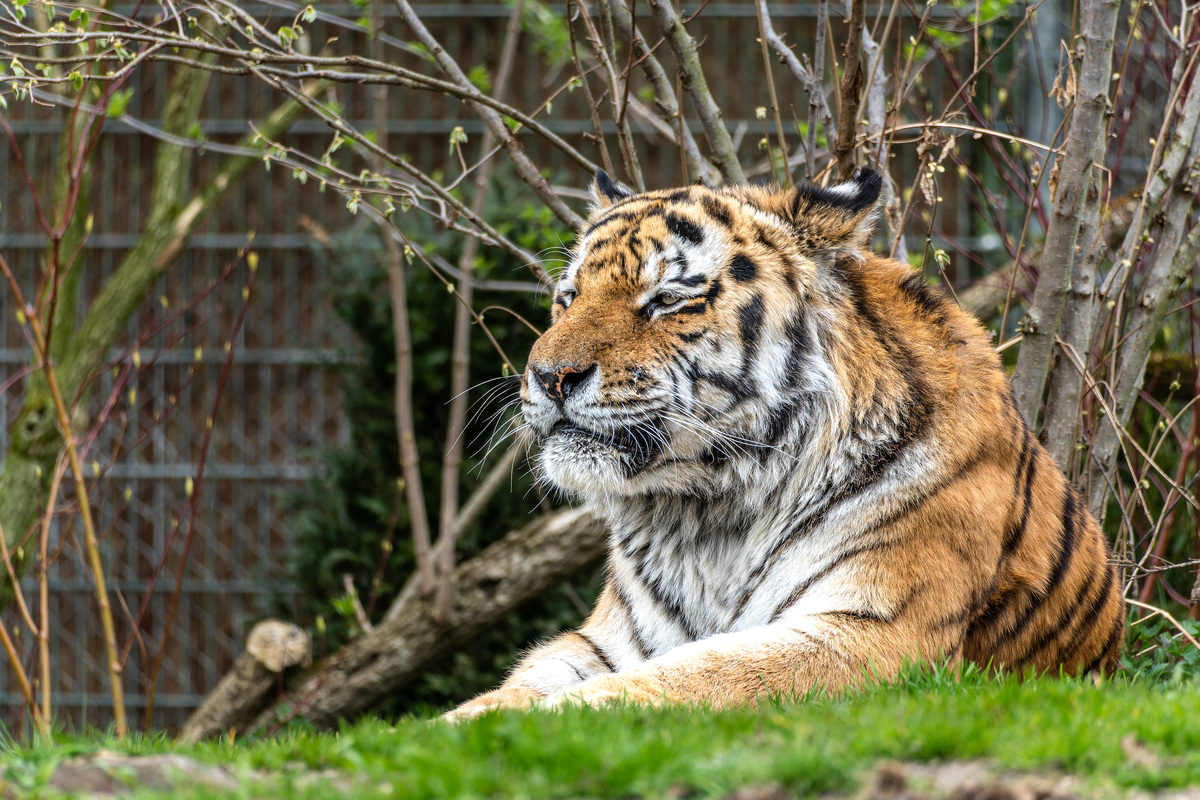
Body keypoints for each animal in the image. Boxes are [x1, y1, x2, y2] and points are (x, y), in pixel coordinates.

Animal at [443, 167, 1124, 721]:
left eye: (667, 299)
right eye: (569, 297)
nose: (548, 376)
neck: (709, 511)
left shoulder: (878, 631)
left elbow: (701, 673)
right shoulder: (608, 640)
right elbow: (524, 682)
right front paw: (458, 723)